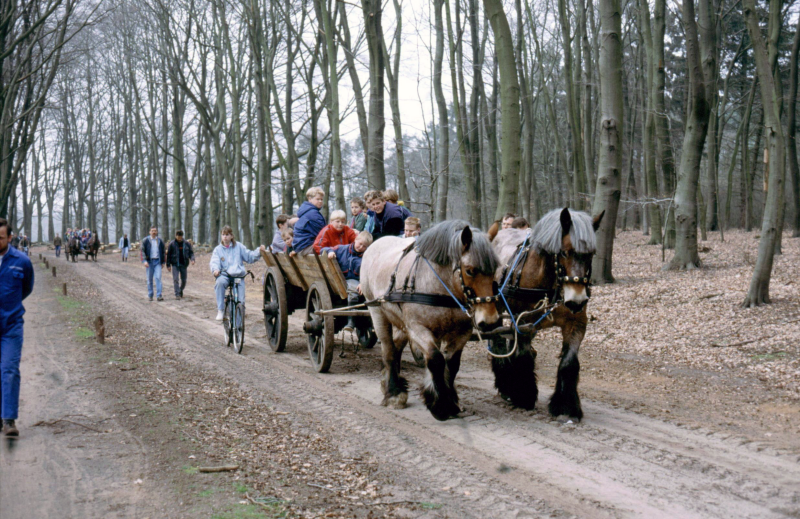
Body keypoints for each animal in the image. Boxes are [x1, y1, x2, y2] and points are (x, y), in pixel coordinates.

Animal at [362, 221, 500, 420]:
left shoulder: (462, 333)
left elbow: (452, 364)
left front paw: (451, 402)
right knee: (388, 350)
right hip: (377, 312)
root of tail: (376, 243)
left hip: (400, 321)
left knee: (396, 347)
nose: (490, 321)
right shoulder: (417, 328)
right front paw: (439, 405)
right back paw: (394, 392)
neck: (440, 286)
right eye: (469, 271)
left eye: (494, 270)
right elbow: (436, 359)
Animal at [484, 207, 604, 422]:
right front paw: (524, 396)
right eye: (564, 252)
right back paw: (505, 384)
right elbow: (523, 356)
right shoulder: (522, 322)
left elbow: (568, 363)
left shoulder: (576, 323)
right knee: (498, 344)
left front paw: (566, 406)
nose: (577, 301)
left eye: (591, 254)